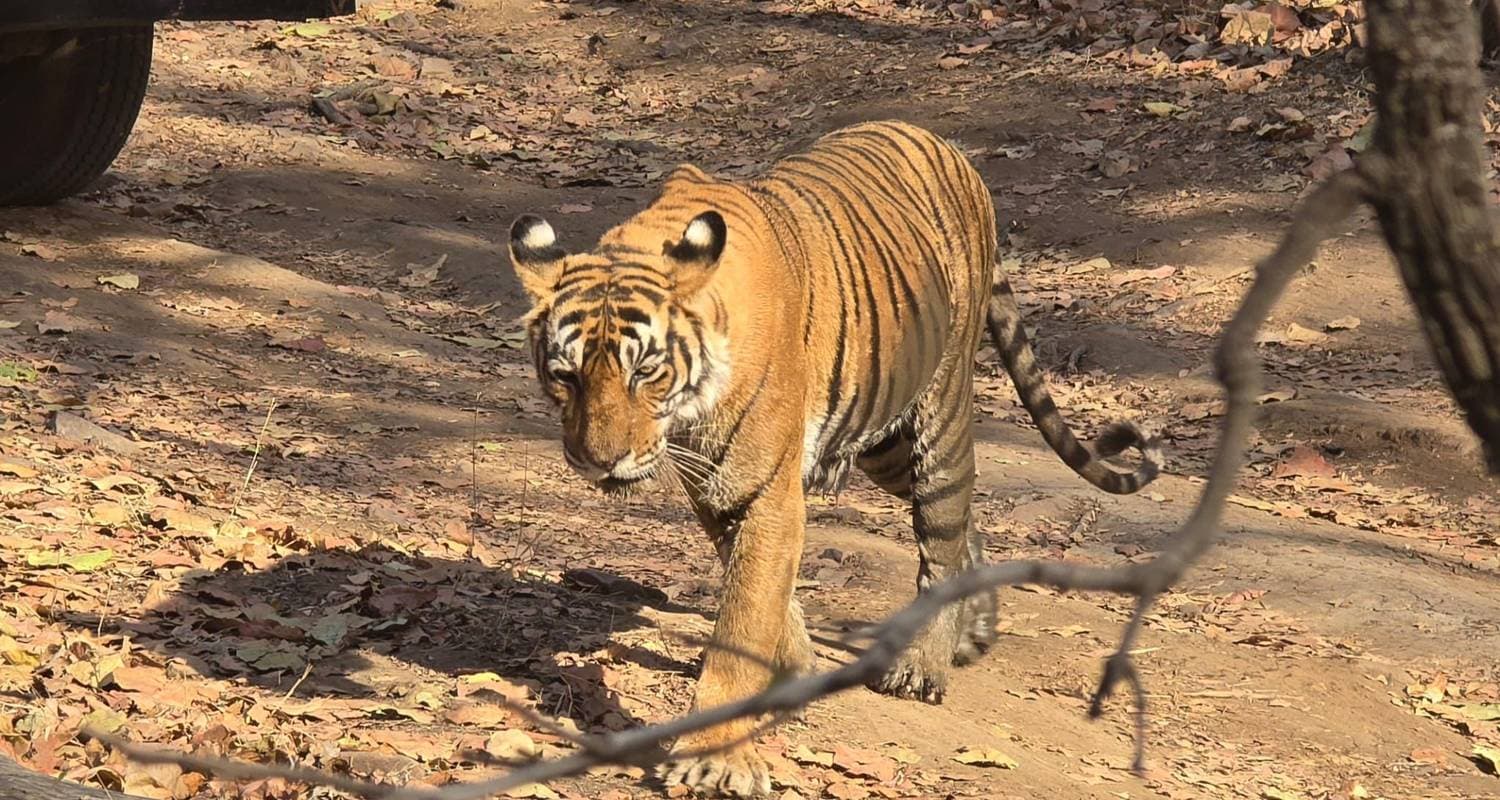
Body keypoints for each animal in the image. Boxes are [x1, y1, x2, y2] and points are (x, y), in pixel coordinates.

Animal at [503, 120, 1161, 797]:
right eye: (565, 375)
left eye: (645, 372)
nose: (599, 460)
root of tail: (943, 146)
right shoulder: (718, 488)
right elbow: (762, 591)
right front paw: (791, 667)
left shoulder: (761, 487)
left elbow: (745, 613)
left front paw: (716, 757)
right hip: (885, 442)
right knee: (963, 523)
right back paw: (974, 627)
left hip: (941, 413)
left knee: (943, 531)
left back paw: (924, 665)